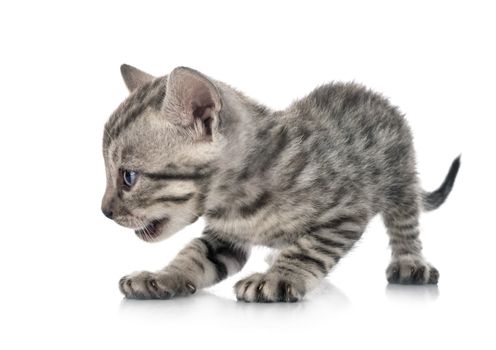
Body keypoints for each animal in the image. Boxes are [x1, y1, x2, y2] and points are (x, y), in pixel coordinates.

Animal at [101, 64, 462, 302]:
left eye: (128, 177)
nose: (104, 211)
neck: (235, 201)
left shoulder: (346, 211)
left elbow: (309, 249)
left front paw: (278, 278)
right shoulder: (225, 236)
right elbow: (194, 254)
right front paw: (161, 276)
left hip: (401, 180)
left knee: (405, 224)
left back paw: (409, 261)